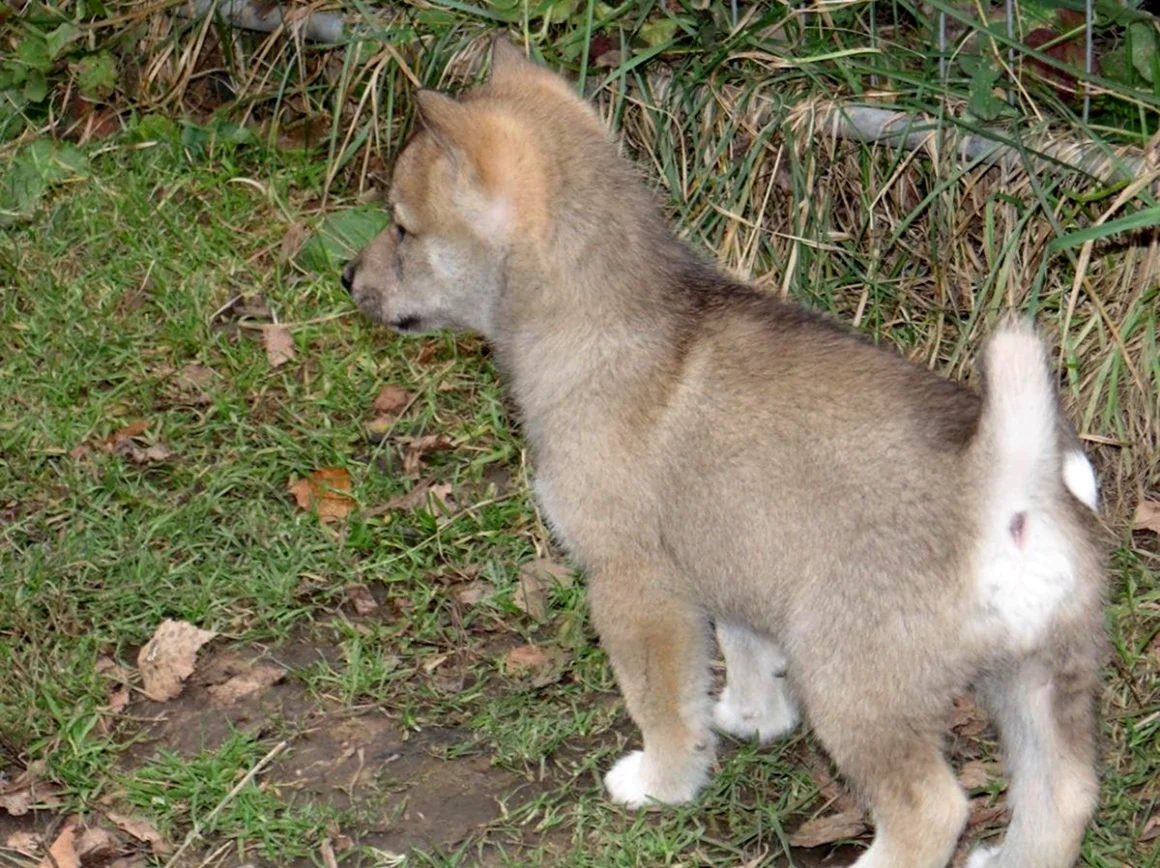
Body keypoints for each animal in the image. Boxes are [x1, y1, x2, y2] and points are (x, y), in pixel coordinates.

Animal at [341, 40, 1104, 868]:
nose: (346, 276)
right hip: (1033, 685)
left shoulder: (634, 584)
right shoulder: (734, 559)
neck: (604, 315)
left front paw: (664, 782)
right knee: (1062, 797)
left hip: (857, 685)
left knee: (930, 808)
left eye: (402, 227)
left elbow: (662, 702)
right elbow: (742, 649)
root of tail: (1002, 481)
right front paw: (749, 715)